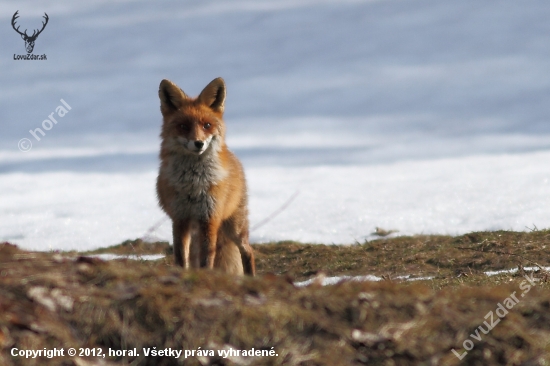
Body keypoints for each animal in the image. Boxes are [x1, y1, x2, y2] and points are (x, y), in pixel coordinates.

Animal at [157, 78, 256, 276]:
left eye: (207, 125)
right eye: (184, 126)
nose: (199, 143)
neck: (193, 184)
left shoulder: (209, 218)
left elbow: (207, 259)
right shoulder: (180, 219)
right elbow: (181, 257)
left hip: (234, 227)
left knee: (248, 252)